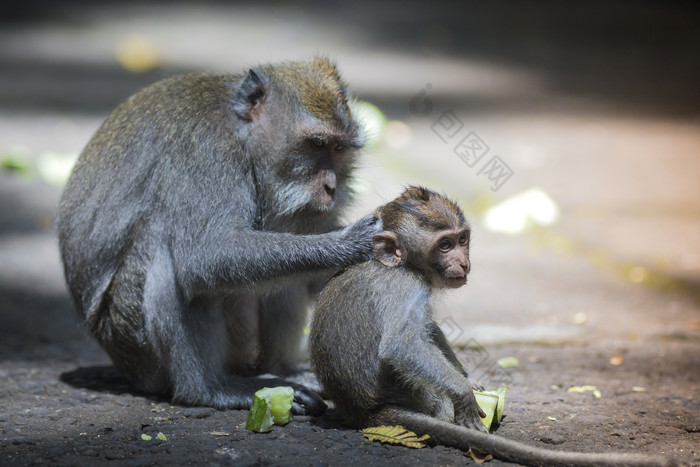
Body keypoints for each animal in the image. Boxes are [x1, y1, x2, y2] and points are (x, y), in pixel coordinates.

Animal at [57, 56, 380, 414]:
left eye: (339, 149)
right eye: (317, 144)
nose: (331, 187)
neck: (241, 131)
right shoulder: (206, 150)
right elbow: (206, 256)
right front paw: (350, 243)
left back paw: (281, 371)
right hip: (133, 346)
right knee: (166, 247)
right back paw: (209, 390)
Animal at [310, 187, 672, 467]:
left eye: (462, 239)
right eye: (444, 246)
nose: (463, 262)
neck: (403, 264)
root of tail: (363, 413)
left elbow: (429, 329)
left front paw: (467, 378)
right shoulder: (405, 285)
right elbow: (402, 345)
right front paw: (463, 393)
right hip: (417, 395)